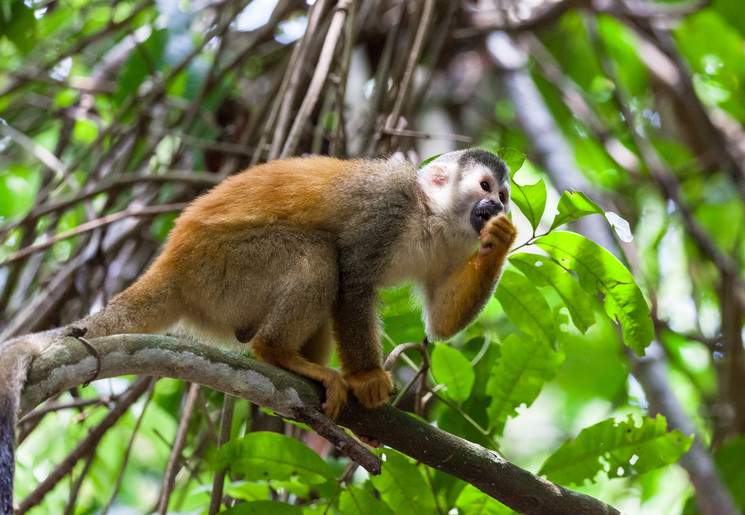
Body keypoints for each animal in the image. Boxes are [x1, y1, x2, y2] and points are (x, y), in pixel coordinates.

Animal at [0, 150, 512, 512]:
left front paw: (502, 241)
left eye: (504, 196)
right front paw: (367, 379)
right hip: (224, 266)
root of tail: (173, 260)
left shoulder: (456, 245)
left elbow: (440, 323)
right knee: (320, 256)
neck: (429, 216)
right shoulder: (387, 208)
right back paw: (277, 353)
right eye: (485, 186)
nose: (496, 206)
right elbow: (353, 281)